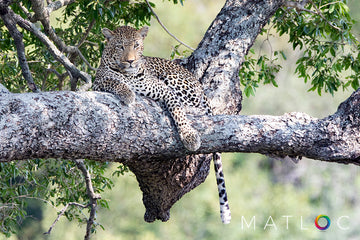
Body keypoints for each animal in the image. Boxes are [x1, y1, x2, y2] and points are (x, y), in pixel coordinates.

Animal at [93, 25, 231, 224]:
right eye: (120, 47)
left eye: (136, 45)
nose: (130, 61)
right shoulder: (97, 84)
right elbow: (113, 81)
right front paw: (127, 93)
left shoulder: (165, 90)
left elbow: (177, 110)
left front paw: (188, 136)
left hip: (176, 81)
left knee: (196, 106)